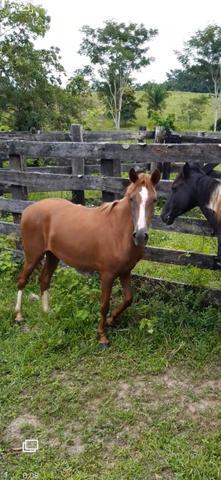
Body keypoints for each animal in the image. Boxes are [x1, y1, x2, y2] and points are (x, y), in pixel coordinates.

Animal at [16, 168, 161, 344]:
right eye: (131, 198)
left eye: (154, 200)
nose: (140, 236)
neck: (118, 231)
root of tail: (28, 210)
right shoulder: (107, 275)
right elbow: (104, 304)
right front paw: (102, 336)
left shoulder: (125, 272)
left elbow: (128, 299)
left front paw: (112, 320)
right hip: (33, 255)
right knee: (22, 280)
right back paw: (18, 316)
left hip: (52, 256)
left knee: (44, 279)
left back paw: (47, 312)